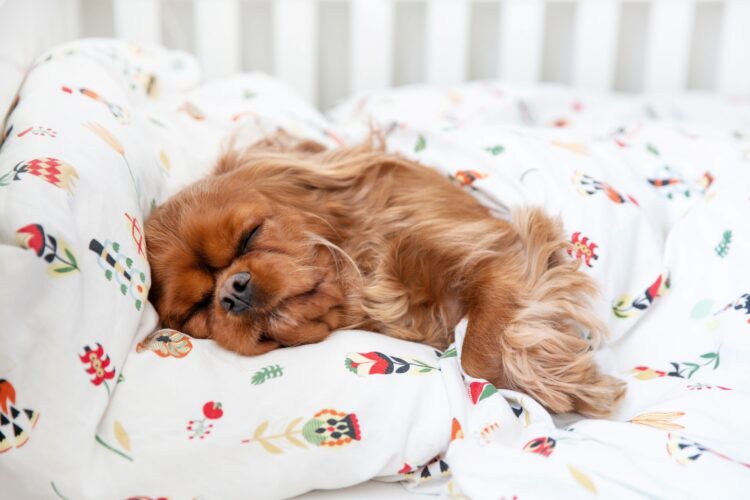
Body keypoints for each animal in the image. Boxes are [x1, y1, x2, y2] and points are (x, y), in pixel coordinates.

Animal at [147, 134, 628, 418]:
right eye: (198, 309)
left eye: (250, 236)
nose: (231, 291)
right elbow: (475, 355)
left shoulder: (502, 248)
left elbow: (477, 351)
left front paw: (571, 384)